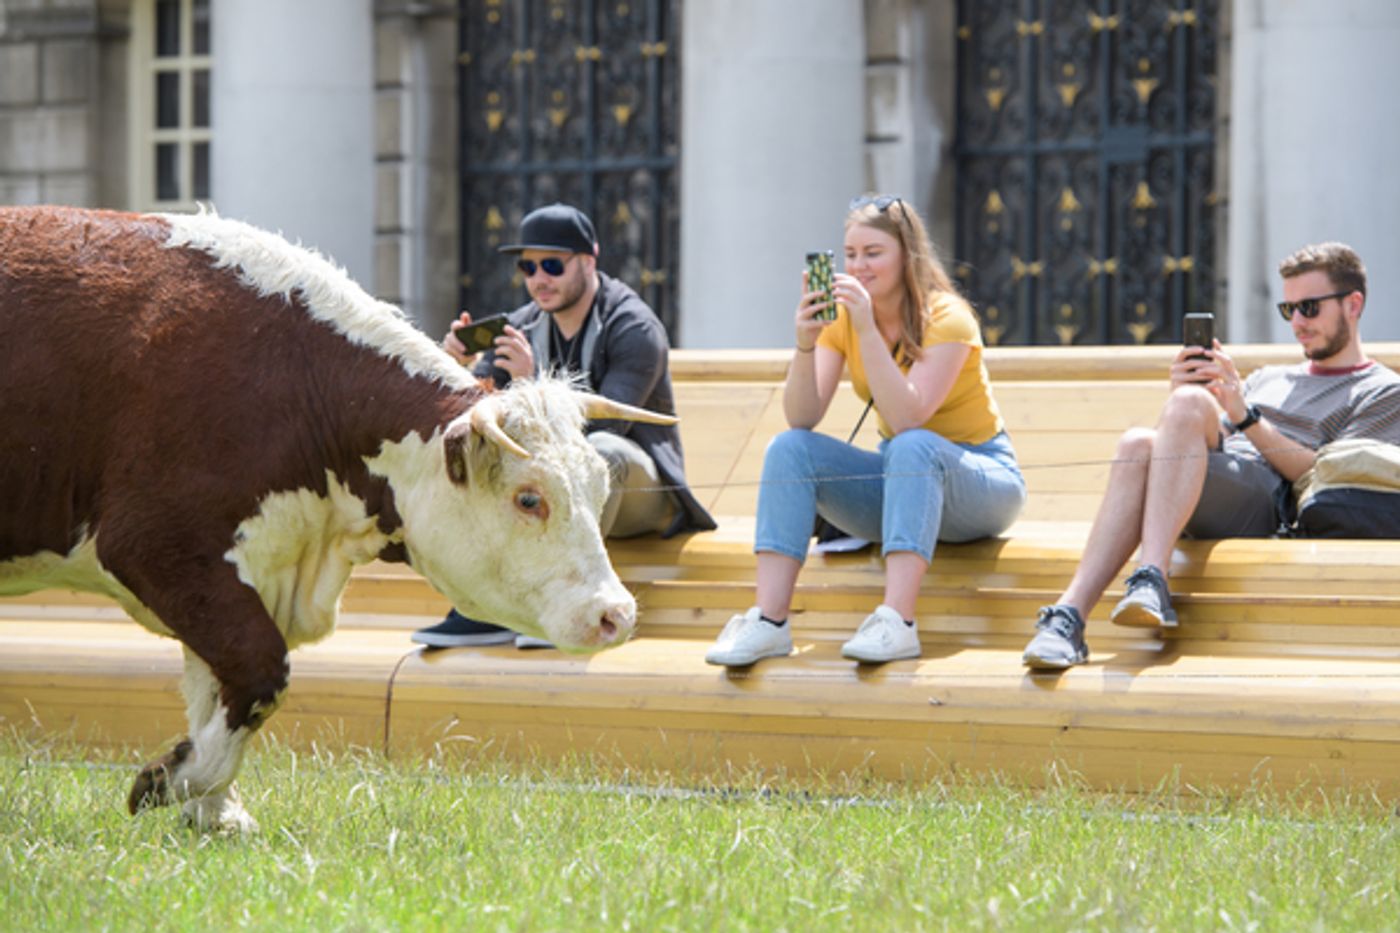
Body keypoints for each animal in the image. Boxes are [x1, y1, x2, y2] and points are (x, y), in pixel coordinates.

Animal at [0, 205, 672, 832]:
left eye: (600, 484)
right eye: (530, 498)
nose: (616, 613)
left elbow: (216, 687)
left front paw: (214, 810)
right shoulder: (159, 545)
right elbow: (257, 670)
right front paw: (171, 780)